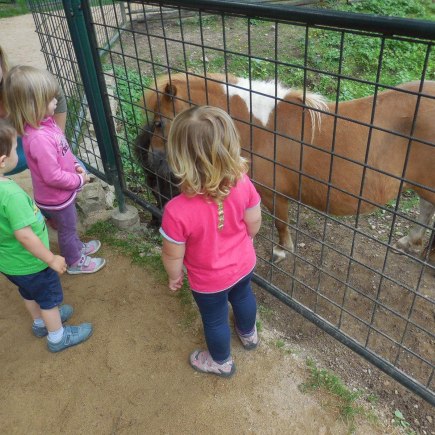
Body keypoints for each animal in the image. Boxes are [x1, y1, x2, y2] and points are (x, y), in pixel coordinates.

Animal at [137, 73, 435, 262]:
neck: (261, 128)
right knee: (425, 209)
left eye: (160, 122)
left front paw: (281, 251)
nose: (152, 160)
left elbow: (281, 222)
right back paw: (410, 241)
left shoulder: (274, 194)